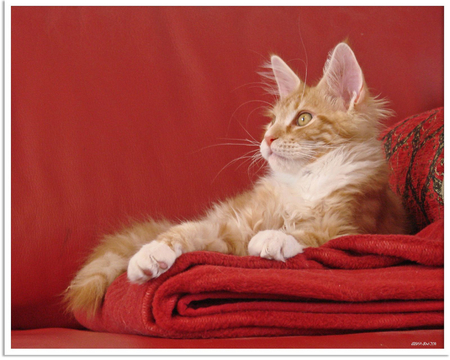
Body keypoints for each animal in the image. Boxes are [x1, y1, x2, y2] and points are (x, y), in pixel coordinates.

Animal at [65, 42, 410, 316]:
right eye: (272, 121)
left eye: (303, 119)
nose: (267, 139)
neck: (305, 177)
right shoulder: (233, 226)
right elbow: (187, 230)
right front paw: (151, 253)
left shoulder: (353, 224)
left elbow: (313, 236)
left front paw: (274, 237)